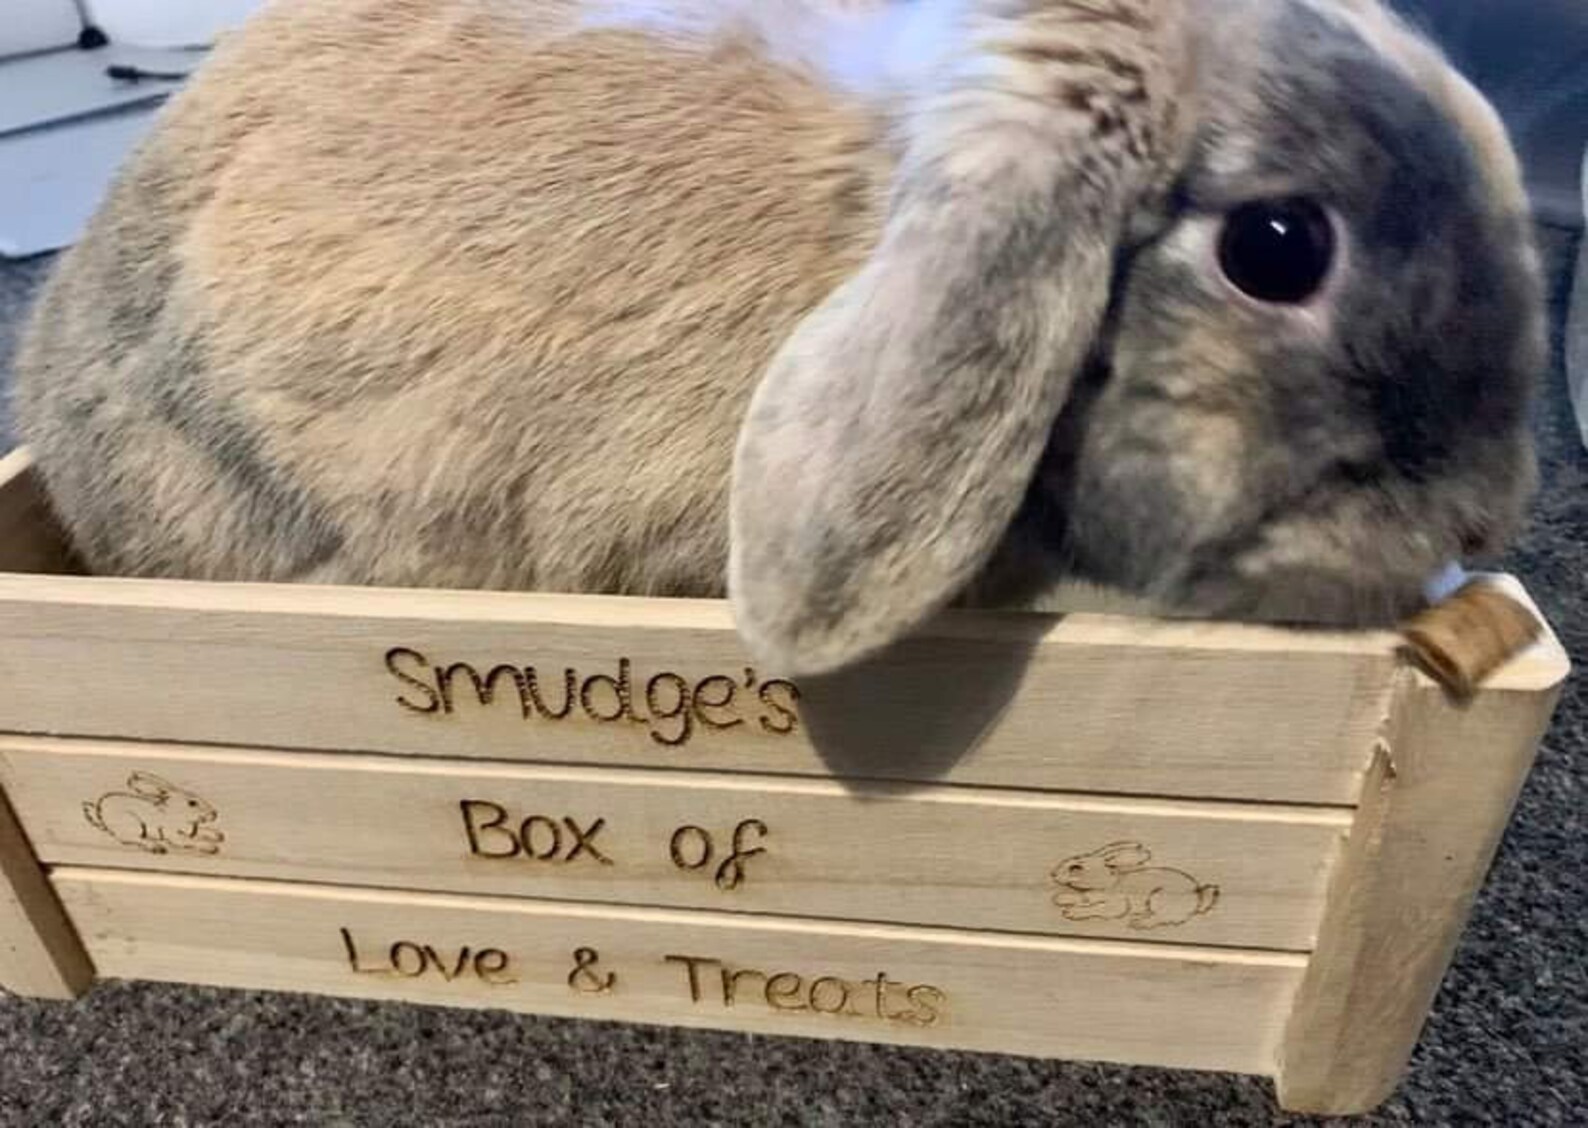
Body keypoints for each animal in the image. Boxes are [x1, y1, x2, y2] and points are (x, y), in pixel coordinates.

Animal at [82, 771, 224, 855]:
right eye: (192, 803)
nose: (214, 814)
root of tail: (100, 812)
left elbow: (199, 833)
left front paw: (218, 835)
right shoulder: (173, 835)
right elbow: (188, 841)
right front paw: (210, 847)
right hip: (133, 822)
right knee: (131, 838)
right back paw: (156, 847)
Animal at [1050, 841, 1218, 930]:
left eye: (1076, 868)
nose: (1053, 874)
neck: (1109, 883)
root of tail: (1198, 897)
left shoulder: (1116, 904)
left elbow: (1099, 909)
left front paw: (1073, 912)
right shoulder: (1089, 895)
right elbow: (1082, 898)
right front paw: (1061, 898)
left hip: (1160, 898)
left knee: (1166, 918)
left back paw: (1140, 922)